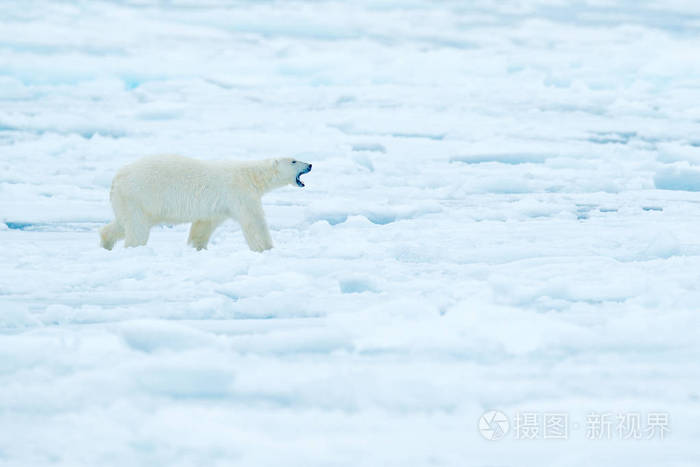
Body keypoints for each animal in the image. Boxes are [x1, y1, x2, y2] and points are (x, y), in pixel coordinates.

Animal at [99, 154, 312, 252]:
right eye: (293, 161)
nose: (309, 164)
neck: (251, 175)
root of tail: (116, 179)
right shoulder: (239, 193)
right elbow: (254, 222)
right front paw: (267, 248)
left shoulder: (218, 207)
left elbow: (203, 226)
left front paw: (197, 247)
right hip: (139, 196)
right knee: (137, 228)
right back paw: (134, 248)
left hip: (131, 202)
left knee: (122, 224)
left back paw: (105, 242)